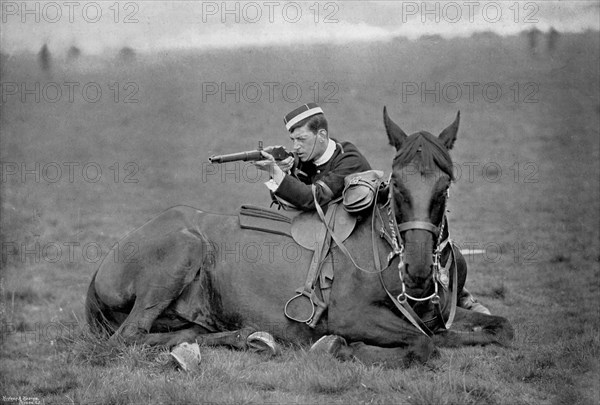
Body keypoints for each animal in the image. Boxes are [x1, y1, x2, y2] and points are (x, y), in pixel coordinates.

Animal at [86, 107, 512, 366]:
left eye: (444, 186)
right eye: (398, 185)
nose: (419, 271)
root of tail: (101, 269)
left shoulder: (437, 319)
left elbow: (498, 328)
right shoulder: (351, 316)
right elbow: (424, 345)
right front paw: (340, 346)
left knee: (182, 334)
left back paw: (246, 337)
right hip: (184, 249)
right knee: (127, 337)